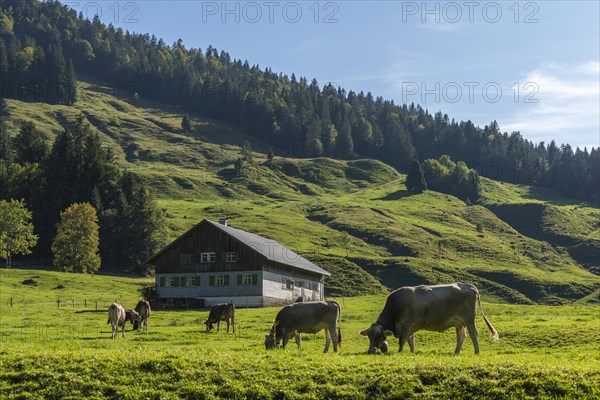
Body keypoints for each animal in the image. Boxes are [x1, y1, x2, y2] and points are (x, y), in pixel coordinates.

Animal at [360, 282, 496, 354]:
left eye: (378, 336)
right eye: (369, 336)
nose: (370, 350)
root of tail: (468, 285)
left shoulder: (406, 325)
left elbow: (402, 340)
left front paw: (400, 352)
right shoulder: (410, 327)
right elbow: (411, 341)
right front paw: (412, 352)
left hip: (469, 320)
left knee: (474, 335)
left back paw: (477, 352)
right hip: (459, 323)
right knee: (461, 337)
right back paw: (456, 352)